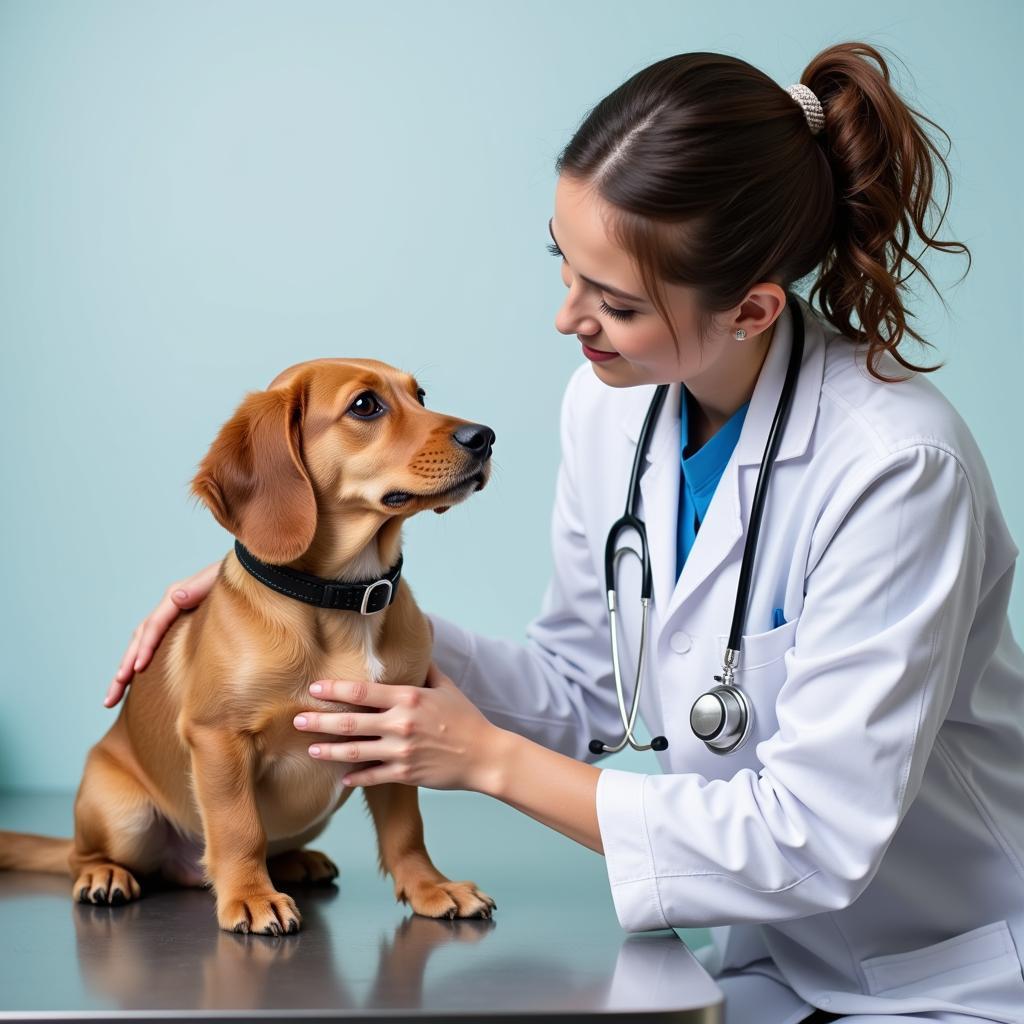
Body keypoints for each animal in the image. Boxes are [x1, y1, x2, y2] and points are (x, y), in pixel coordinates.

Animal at [0, 360, 495, 937]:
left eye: (421, 395)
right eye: (365, 406)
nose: (484, 437)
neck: (343, 598)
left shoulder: (393, 733)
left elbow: (405, 829)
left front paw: (430, 887)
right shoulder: (219, 738)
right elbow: (240, 828)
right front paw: (252, 897)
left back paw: (298, 862)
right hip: (122, 812)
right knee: (81, 856)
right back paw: (105, 874)